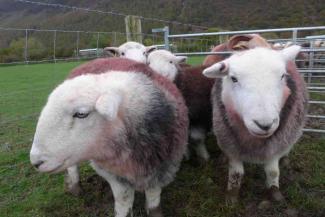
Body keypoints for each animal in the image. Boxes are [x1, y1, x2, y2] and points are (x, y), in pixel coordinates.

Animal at [30, 57, 189, 217]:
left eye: (81, 114)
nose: (36, 162)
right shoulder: (114, 174)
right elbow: (124, 200)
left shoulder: (164, 167)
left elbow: (153, 197)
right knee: (72, 167)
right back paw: (75, 186)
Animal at [202, 45, 306, 204]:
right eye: (233, 78)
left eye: (282, 76)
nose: (265, 124)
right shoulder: (230, 144)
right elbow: (236, 173)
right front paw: (231, 197)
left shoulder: (275, 145)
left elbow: (272, 171)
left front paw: (275, 193)